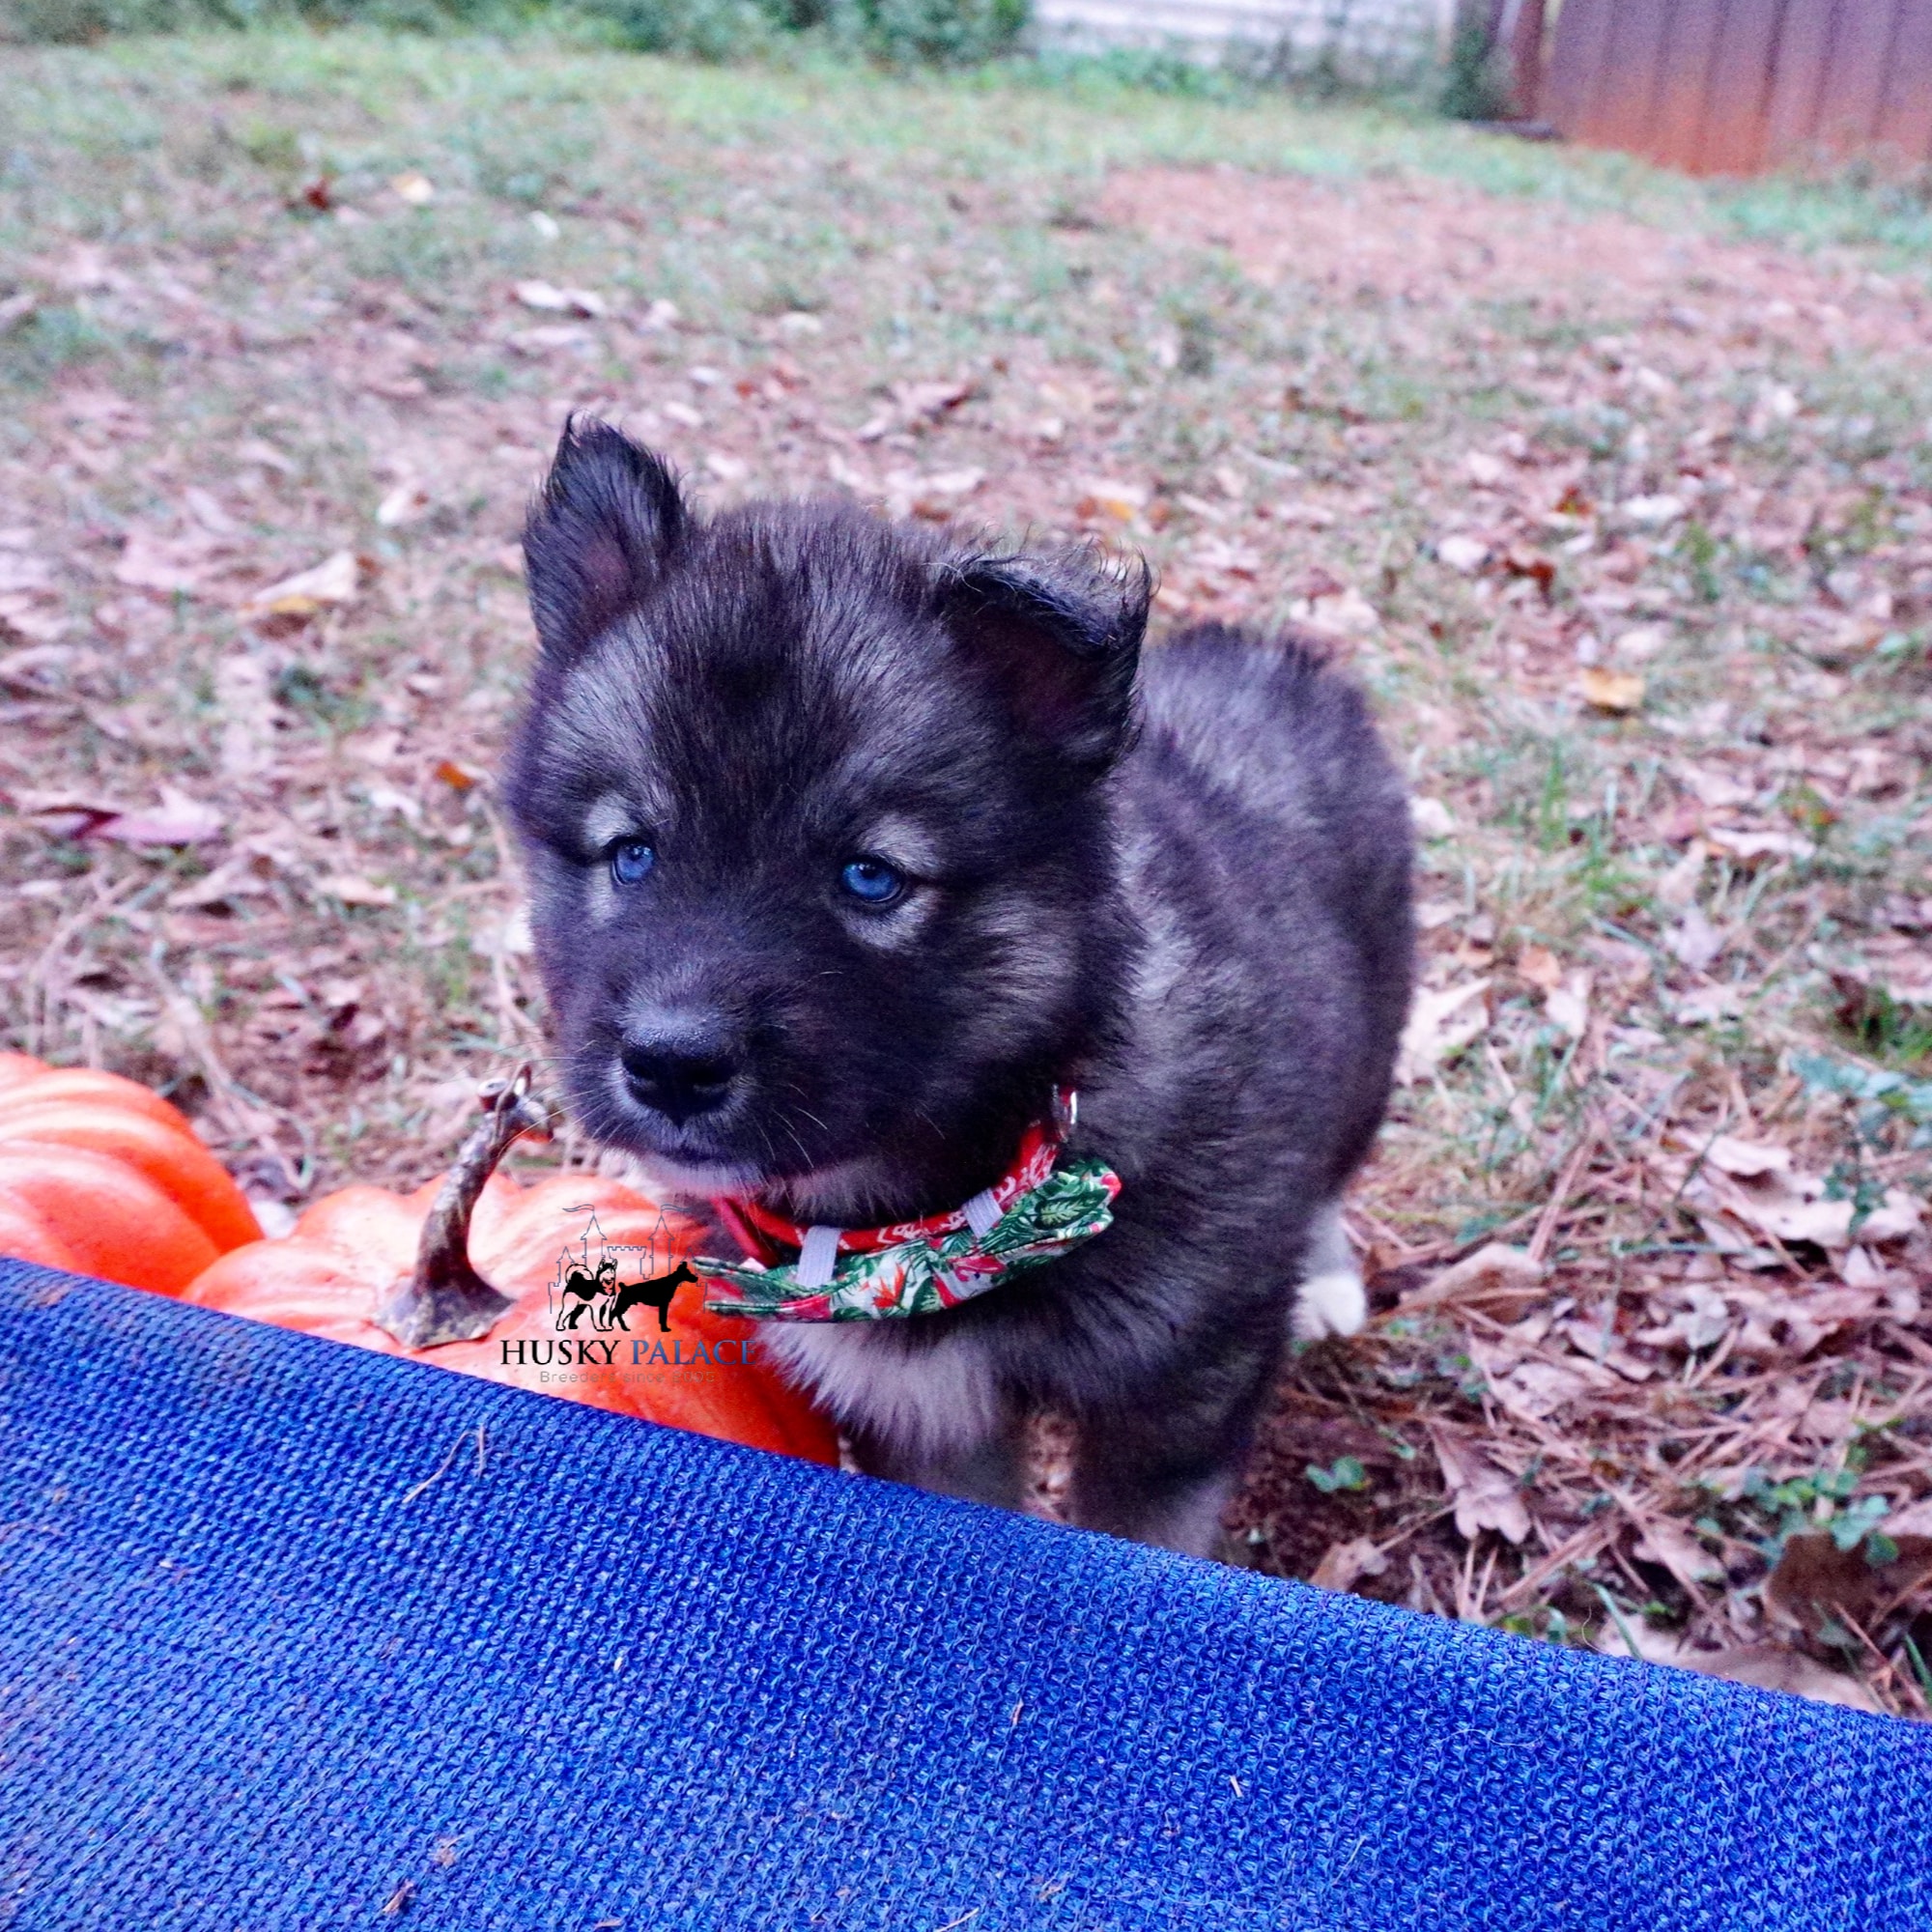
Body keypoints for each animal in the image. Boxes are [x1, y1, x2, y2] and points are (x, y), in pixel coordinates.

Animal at [510, 423, 1422, 1553]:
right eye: (631, 854)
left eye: (870, 876)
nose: (671, 1065)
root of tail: (1261, 654)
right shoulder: (925, 1412)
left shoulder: (1173, 1396)